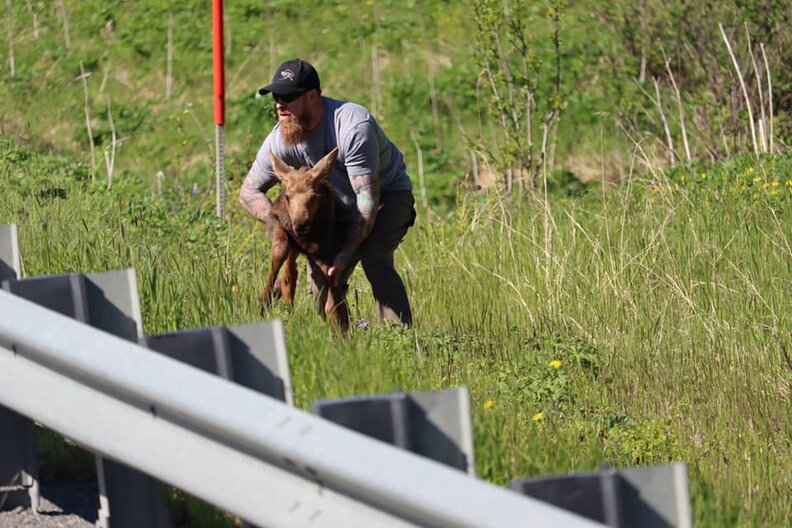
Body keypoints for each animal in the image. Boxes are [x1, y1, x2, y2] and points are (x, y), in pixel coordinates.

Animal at [259, 147, 351, 332]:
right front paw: (263, 302)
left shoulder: (324, 248)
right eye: (287, 197)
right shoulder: (278, 223)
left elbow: (330, 279)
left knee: (292, 272)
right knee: (289, 271)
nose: (300, 224)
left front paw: (338, 323)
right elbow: (280, 253)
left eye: (314, 196)